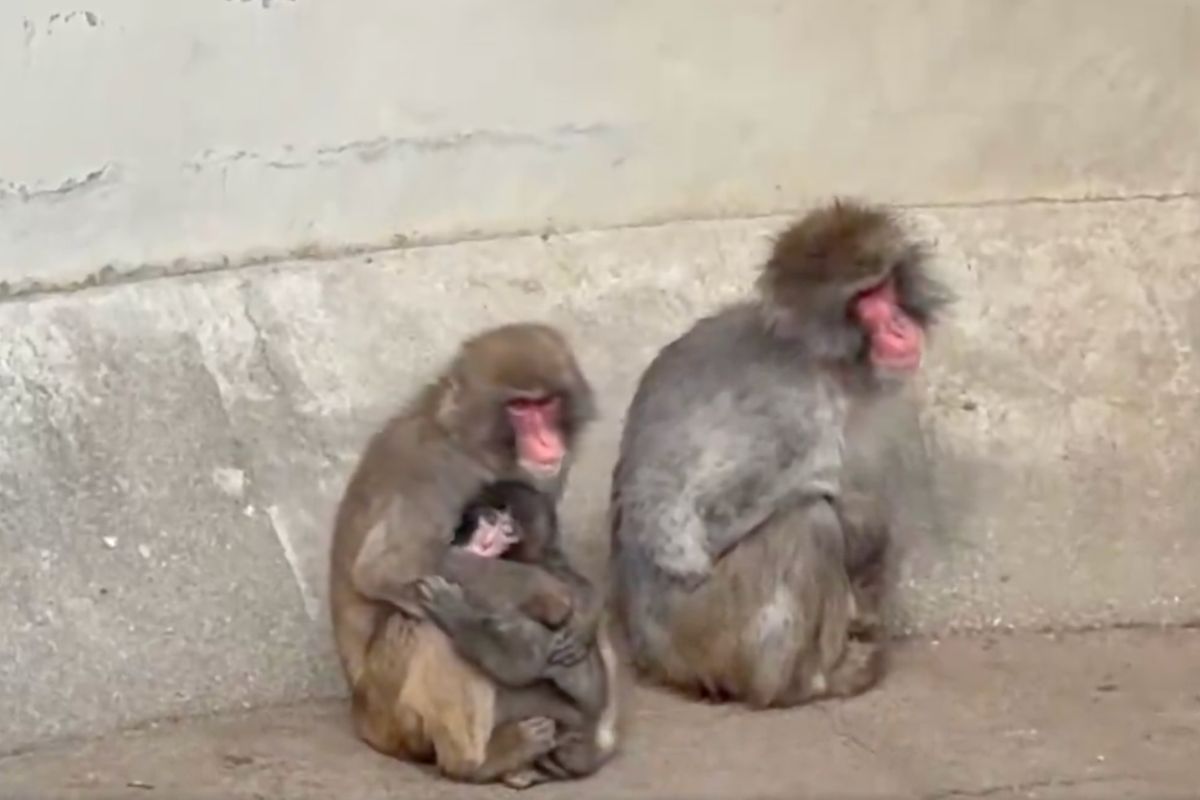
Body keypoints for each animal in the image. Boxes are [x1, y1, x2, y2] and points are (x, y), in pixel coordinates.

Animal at [328, 322, 620, 788]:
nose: (546, 442)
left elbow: (554, 555)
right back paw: (479, 762)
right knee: (424, 624)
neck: (469, 444)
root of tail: (360, 717)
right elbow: (391, 566)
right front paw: (547, 592)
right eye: (519, 407)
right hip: (389, 715)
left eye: (546, 403)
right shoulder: (434, 475)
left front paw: (587, 606)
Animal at [608, 200, 951, 708]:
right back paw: (804, 682)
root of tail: (652, 658)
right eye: (865, 299)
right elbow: (687, 526)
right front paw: (863, 524)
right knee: (809, 522)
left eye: (886, 286)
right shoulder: (793, 413)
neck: (822, 361)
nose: (898, 325)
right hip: (711, 633)